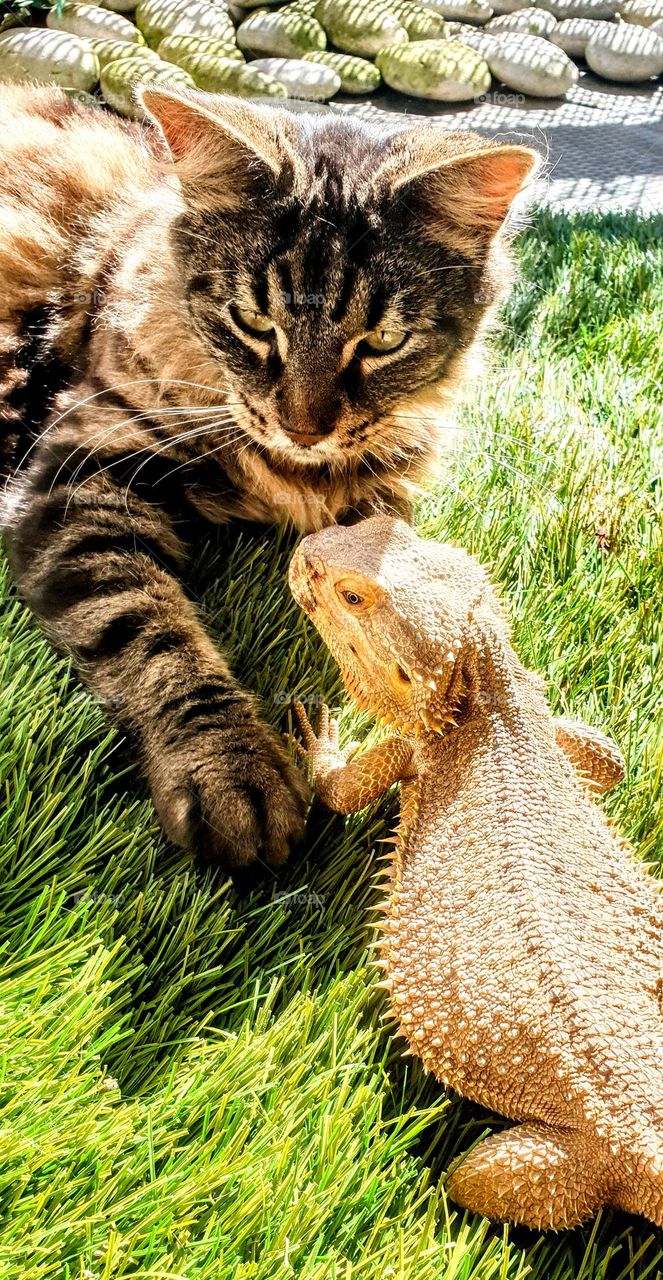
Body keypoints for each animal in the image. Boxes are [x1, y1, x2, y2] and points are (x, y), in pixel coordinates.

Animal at [0, 82, 540, 870]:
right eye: (254, 322)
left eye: (383, 341)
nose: (303, 428)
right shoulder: (80, 468)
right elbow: (151, 633)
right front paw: (231, 769)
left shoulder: (384, 497)